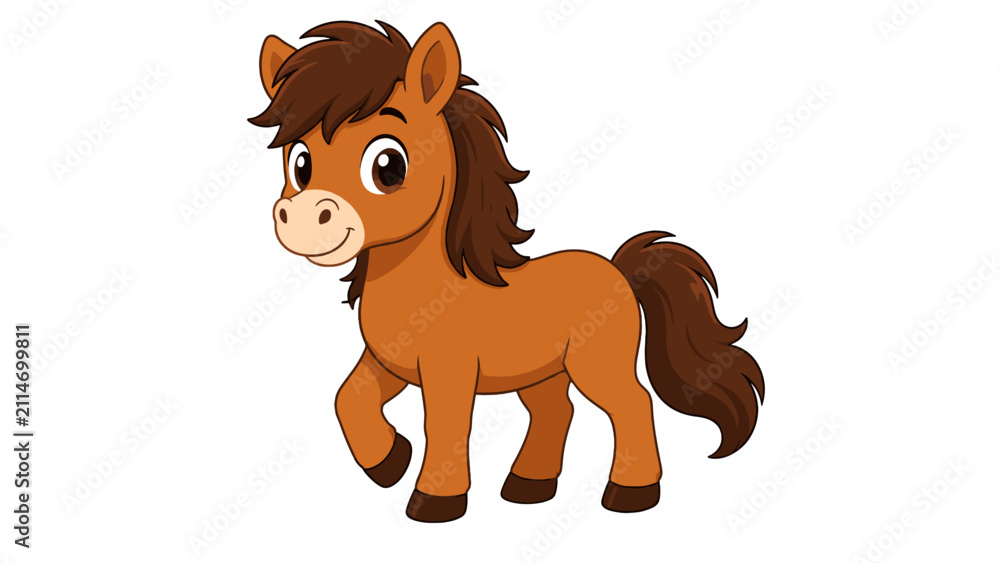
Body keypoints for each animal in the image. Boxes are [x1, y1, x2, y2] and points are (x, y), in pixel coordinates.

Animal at [249, 20, 764, 523]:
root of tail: (619, 269)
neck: (428, 292)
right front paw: (389, 461)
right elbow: (347, 398)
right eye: (300, 162)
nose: (304, 216)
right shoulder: (385, 362)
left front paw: (433, 501)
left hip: (596, 364)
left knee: (631, 404)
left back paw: (630, 494)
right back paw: (528, 487)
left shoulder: (449, 371)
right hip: (545, 372)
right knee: (556, 411)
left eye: (388, 165)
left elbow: (446, 424)